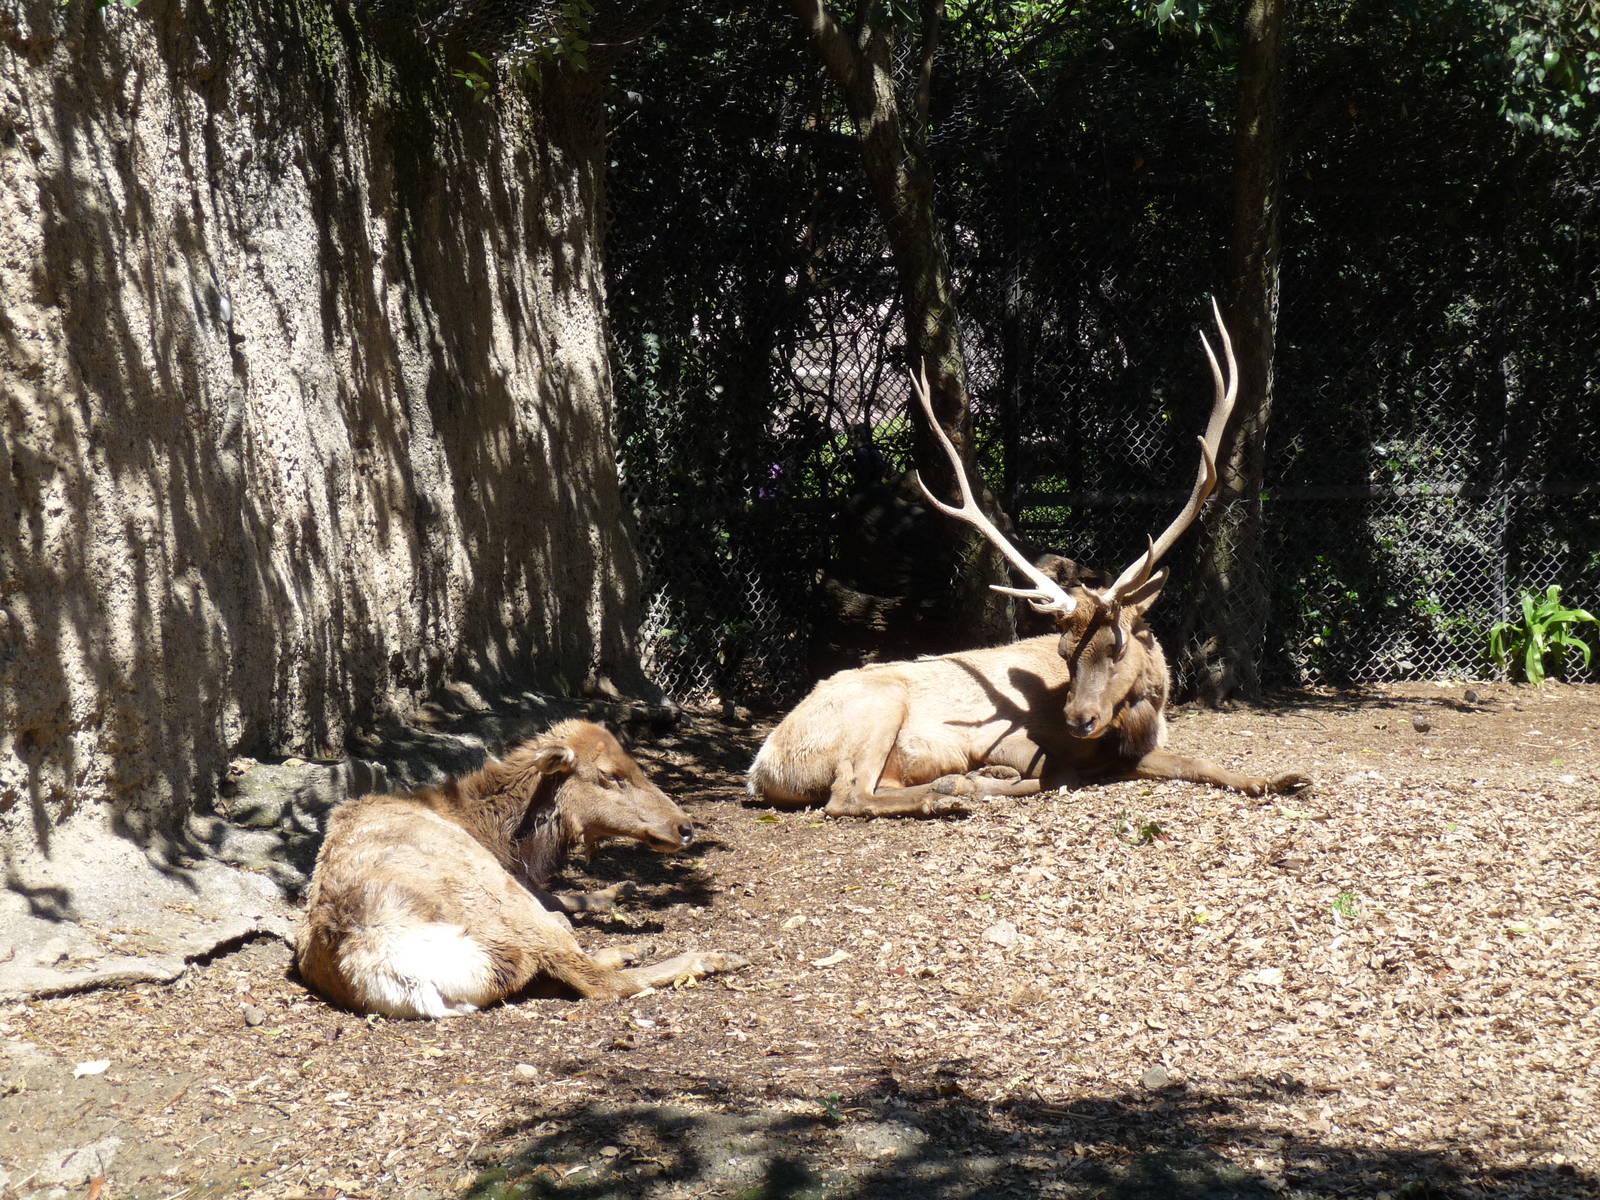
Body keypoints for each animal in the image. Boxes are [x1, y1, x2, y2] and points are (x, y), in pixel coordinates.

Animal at [296, 719, 744, 1018]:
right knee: (594, 978)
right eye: (610, 775)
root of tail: (389, 970)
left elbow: (564, 896)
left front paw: (619, 891)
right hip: (503, 906)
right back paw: (704, 957)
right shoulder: (511, 878)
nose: (684, 827)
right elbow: (559, 906)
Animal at [747, 301, 1308, 818]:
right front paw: (992, 775)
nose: (1079, 719)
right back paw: (952, 793)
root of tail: (762, 768)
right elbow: (1058, 772)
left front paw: (1282, 779)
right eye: (1064, 651)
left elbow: (1202, 763)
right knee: (847, 797)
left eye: (1117, 645)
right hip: (877, 706)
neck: (1141, 721)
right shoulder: (1011, 737)